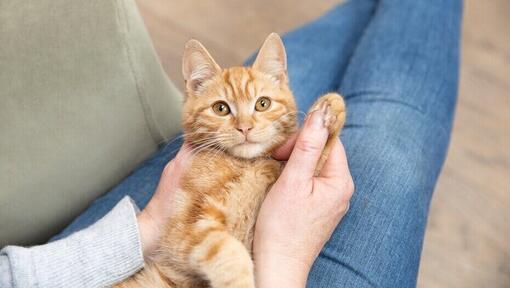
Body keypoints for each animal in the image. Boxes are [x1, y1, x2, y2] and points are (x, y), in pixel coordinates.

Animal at [116, 32, 346, 286]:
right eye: (221, 108)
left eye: (263, 104)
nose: (245, 127)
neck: (247, 165)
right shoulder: (184, 230)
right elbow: (226, 249)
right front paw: (240, 280)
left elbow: (318, 160)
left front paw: (331, 108)